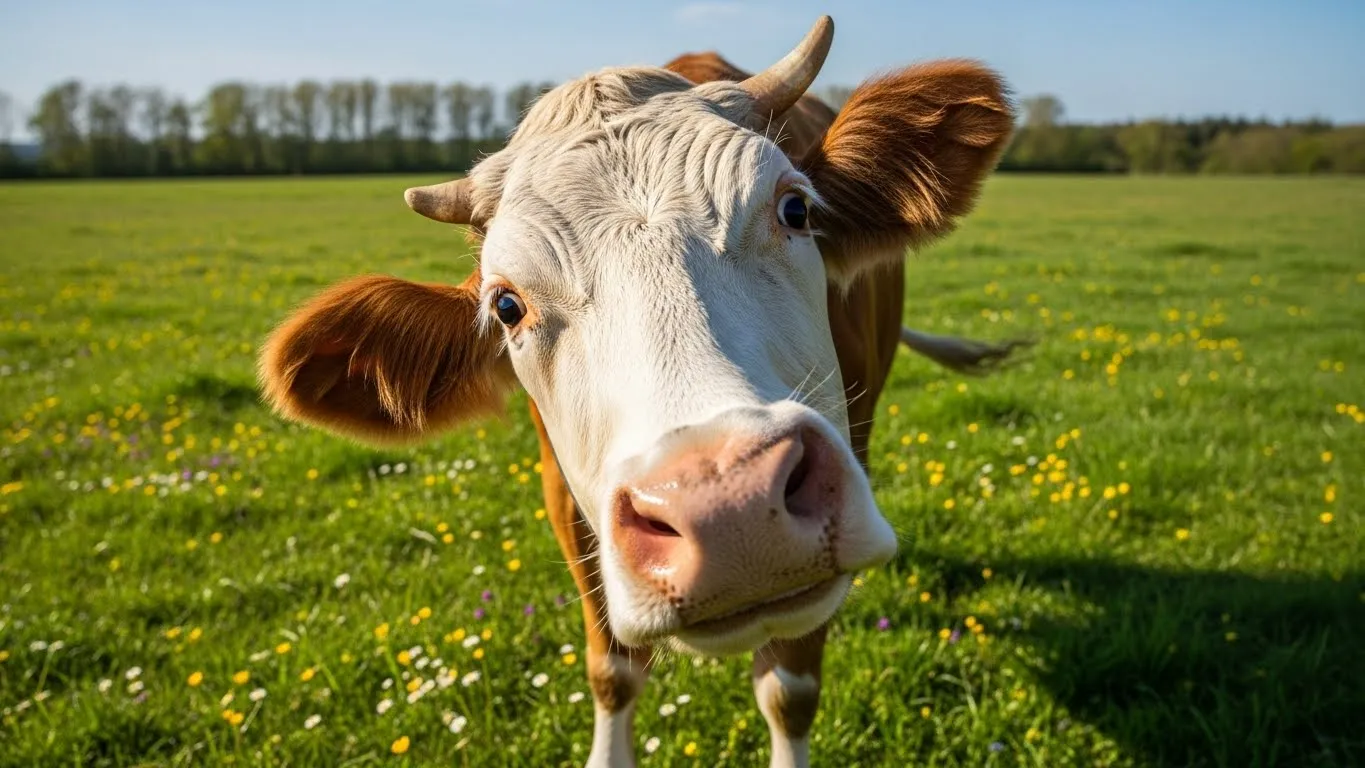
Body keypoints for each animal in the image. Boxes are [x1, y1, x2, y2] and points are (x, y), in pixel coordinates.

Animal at [258, 16, 1022, 767]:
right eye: (505, 305)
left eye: (796, 209)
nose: (728, 508)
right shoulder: (568, 502)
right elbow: (613, 670)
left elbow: (789, 690)